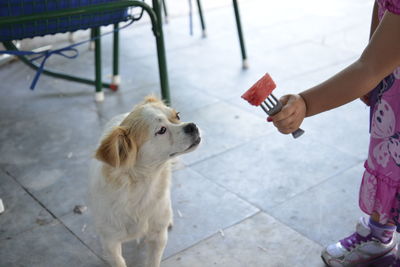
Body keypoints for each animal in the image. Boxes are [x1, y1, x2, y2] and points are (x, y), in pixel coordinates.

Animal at [88, 96, 200, 267]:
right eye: (161, 130)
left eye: (177, 116)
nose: (192, 126)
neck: (141, 187)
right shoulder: (110, 243)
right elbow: (119, 262)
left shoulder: (158, 237)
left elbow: (153, 261)